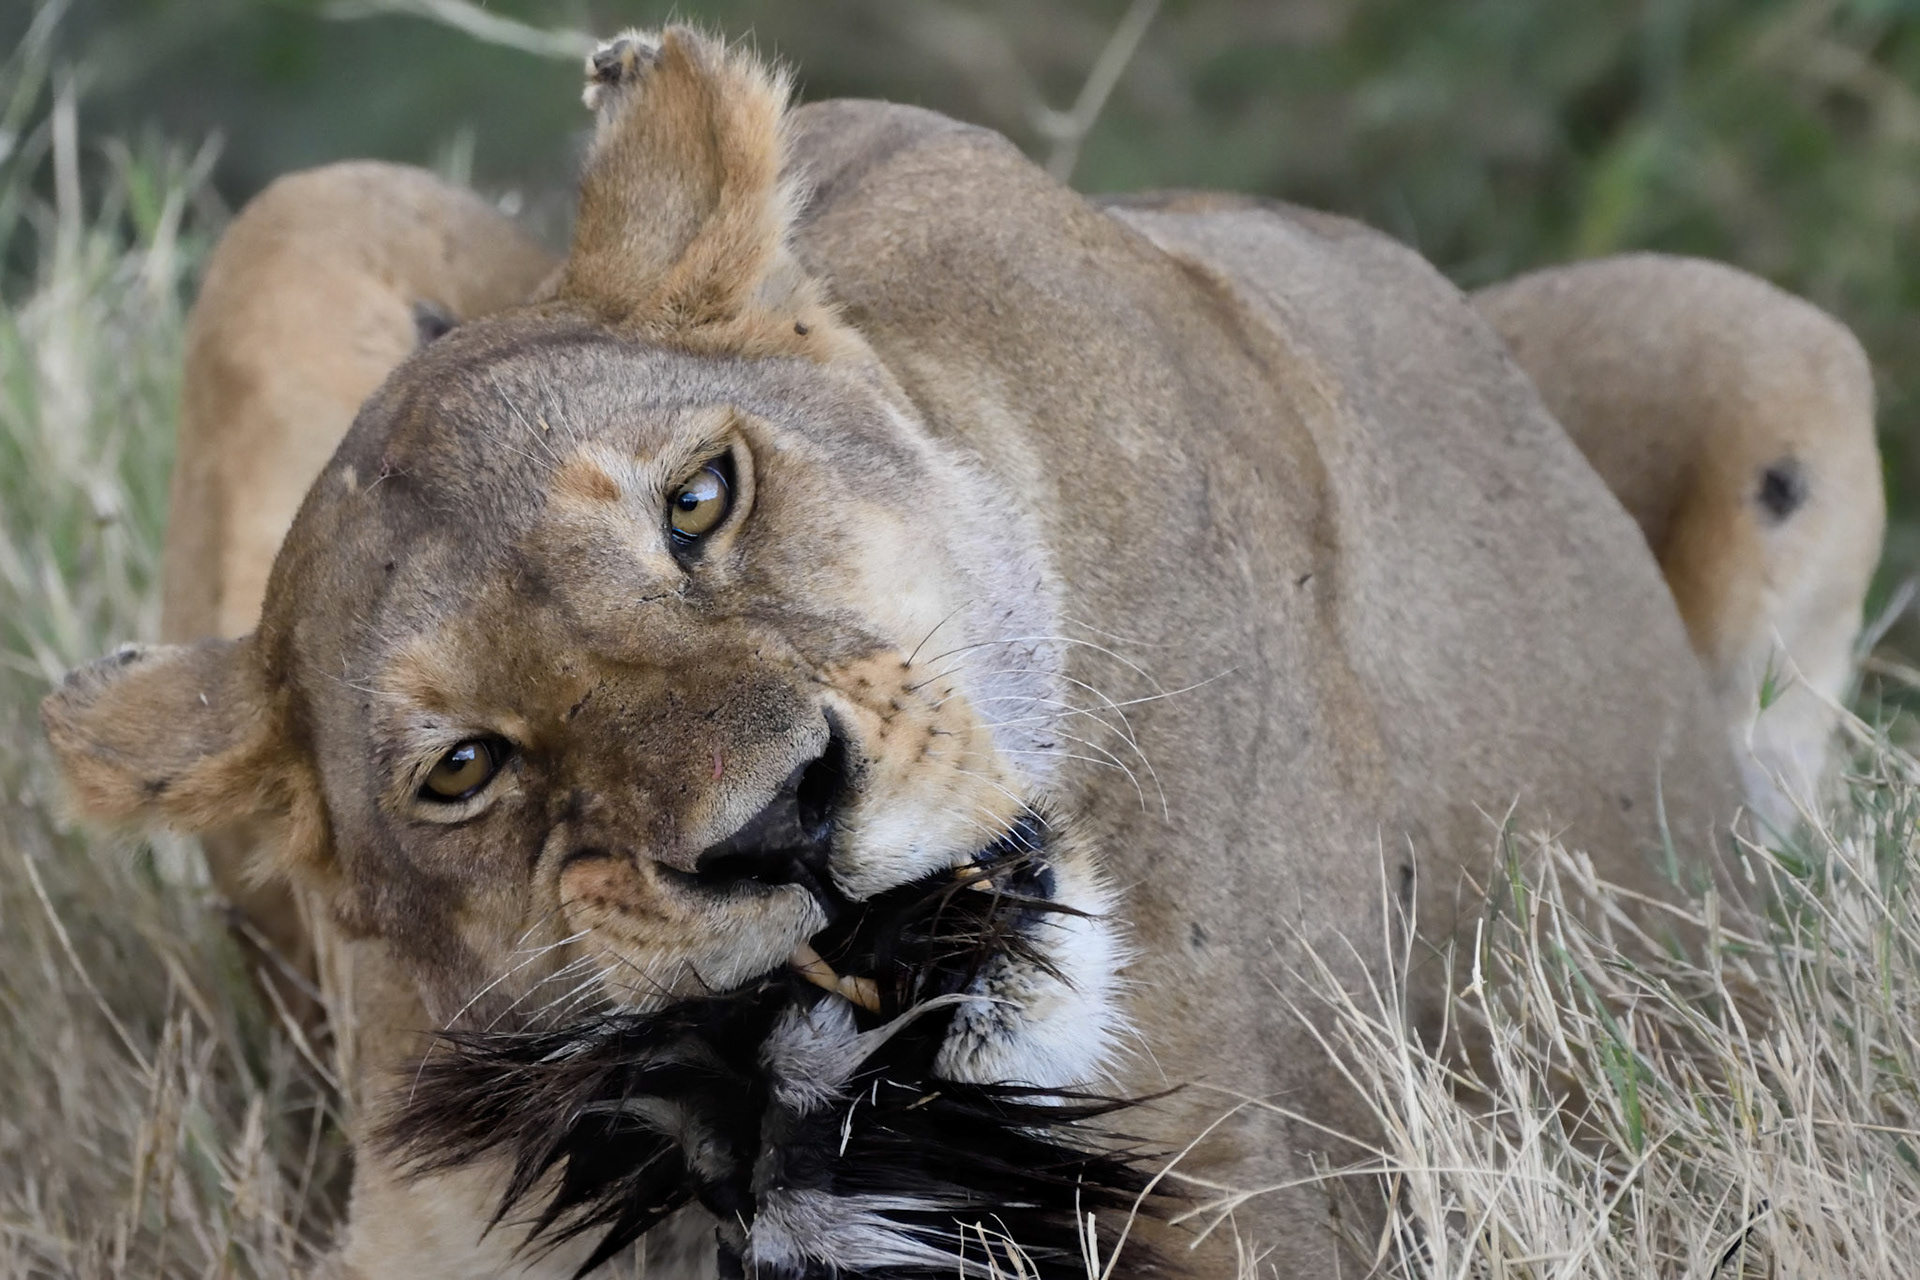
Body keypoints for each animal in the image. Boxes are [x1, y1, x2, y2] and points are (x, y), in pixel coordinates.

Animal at [40, 28, 1881, 1278]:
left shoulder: (1294, 1191)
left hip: (1785, 348)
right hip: (296, 219)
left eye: (701, 499)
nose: (779, 824)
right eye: (465, 769)